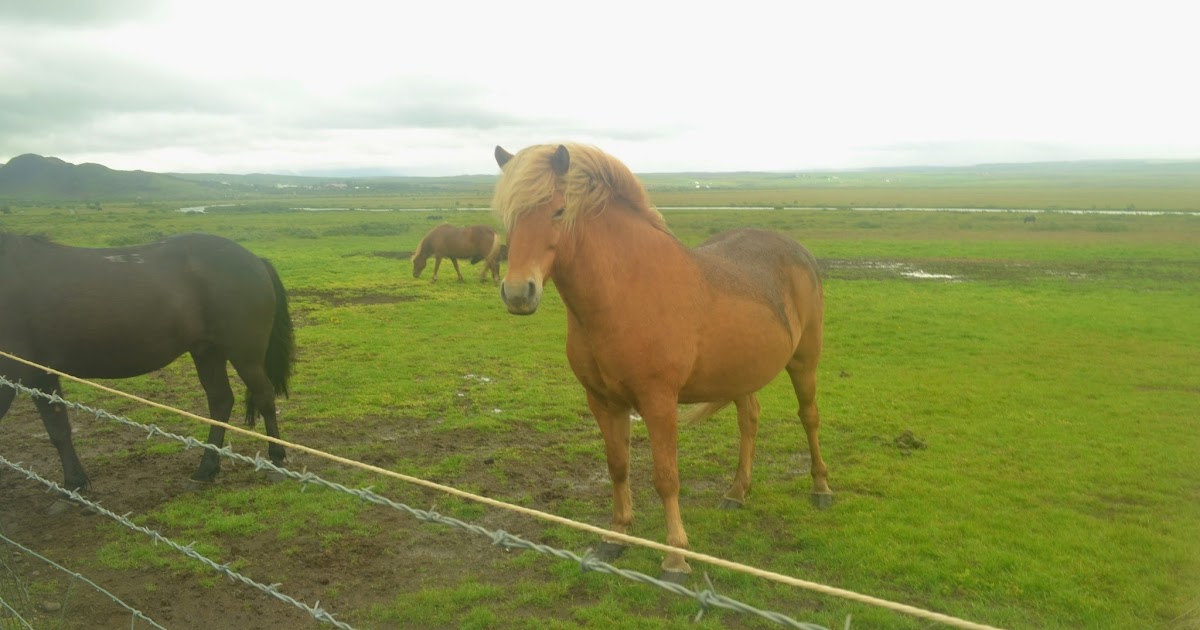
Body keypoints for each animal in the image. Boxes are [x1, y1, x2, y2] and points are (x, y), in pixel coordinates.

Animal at [0, 232, 295, 493]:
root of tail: (255, 260)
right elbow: (58, 430)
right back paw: (205, 471)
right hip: (207, 351)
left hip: (245, 355)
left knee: (264, 397)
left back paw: (277, 461)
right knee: (221, 401)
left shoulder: (19, 376)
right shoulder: (40, 375)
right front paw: (74, 484)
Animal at [492, 143, 830, 582]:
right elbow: (618, 466)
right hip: (740, 374)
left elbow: (666, 478)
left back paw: (821, 489)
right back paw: (736, 492)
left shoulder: (658, 403)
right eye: (508, 216)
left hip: (804, 362)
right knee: (749, 420)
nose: (518, 293)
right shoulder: (603, 402)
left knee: (809, 417)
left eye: (558, 210)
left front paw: (675, 557)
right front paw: (615, 538)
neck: (626, 291)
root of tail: (797, 250)